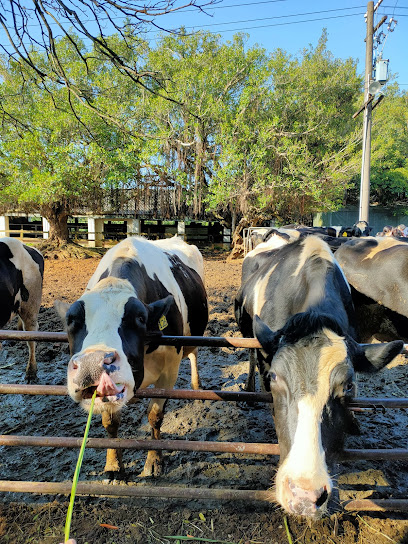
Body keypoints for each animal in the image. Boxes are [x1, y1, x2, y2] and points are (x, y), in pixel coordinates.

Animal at [55, 236, 209, 478]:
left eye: (140, 318)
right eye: (71, 320)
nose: (92, 364)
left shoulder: (169, 371)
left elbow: (155, 416)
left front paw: (154, 461)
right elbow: (110, 421)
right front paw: (112, 465)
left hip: (193, 334)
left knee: (193, 353)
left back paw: (196, 385)